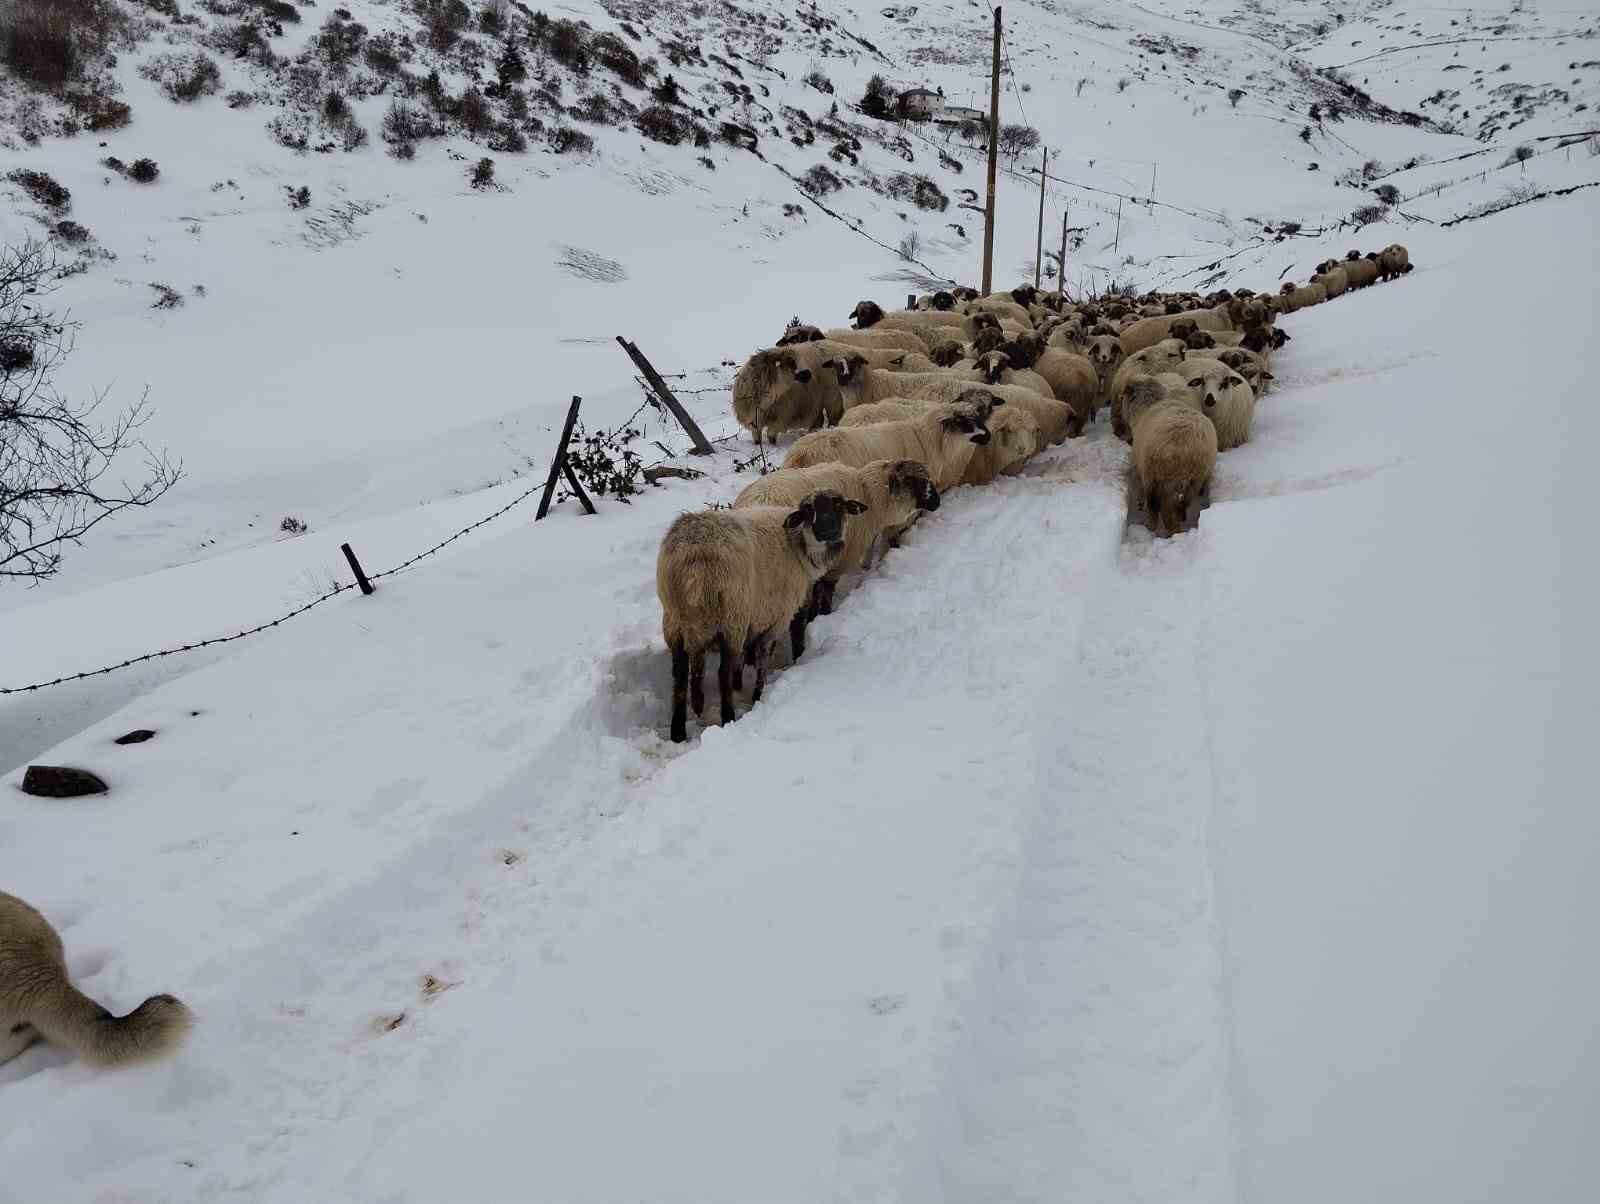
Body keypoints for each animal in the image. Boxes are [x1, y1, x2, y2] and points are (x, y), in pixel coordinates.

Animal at [732, 454, 934, 614]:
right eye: (917, 480)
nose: (937, 501)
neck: (868, 496)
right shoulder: (837, 564)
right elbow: (824, 592)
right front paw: (822, 614)